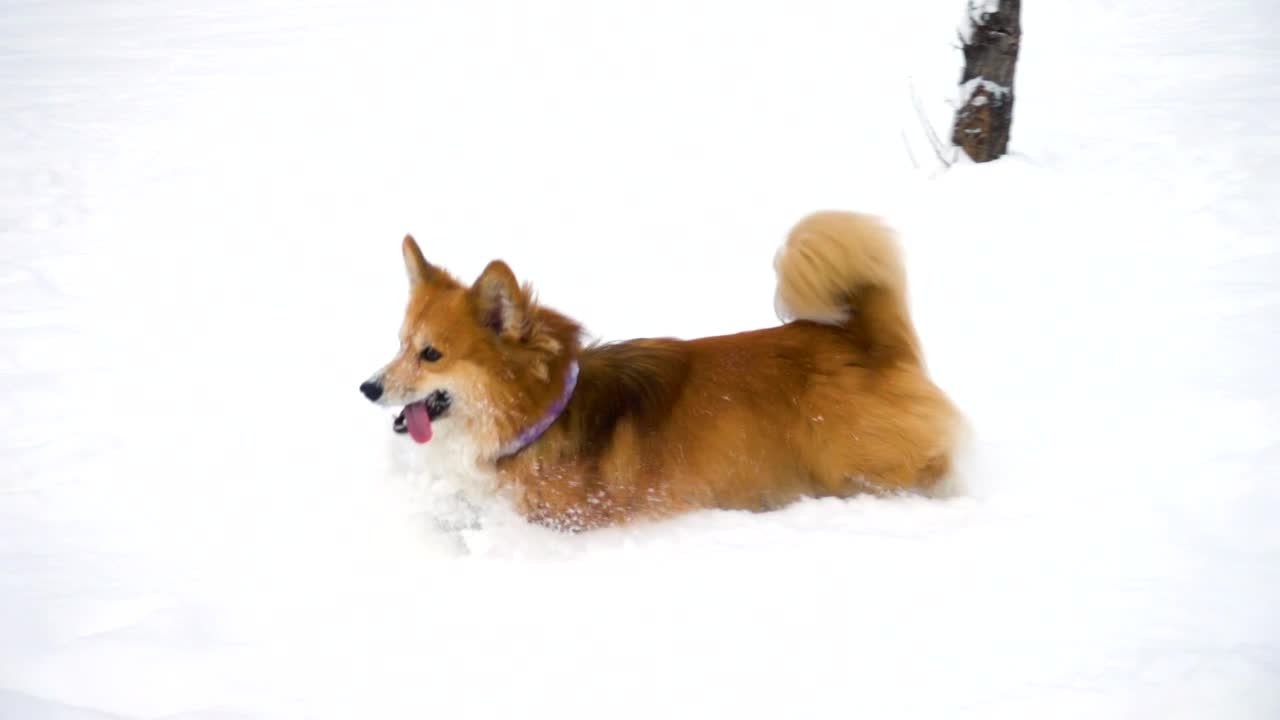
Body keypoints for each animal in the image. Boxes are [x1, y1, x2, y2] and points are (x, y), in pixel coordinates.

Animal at [360, 210, 962, 530]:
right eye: (400, 344)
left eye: (431, 354)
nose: (367, 388)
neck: (544, 415)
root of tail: (867, 338)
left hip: (863, 470)